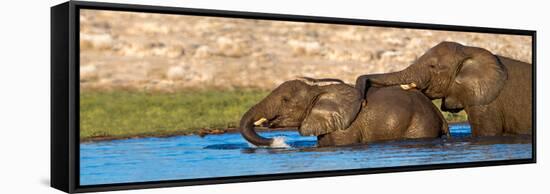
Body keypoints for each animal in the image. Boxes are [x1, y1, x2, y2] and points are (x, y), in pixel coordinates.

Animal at [239, 76, 450, 146]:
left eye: (285, 100)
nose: (278, 142)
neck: (317, 90)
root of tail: (439, 114)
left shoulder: (346, 128)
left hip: (420, 124)